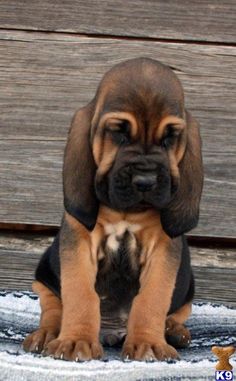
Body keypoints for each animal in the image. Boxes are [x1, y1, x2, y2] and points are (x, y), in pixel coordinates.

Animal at [24, 58, 205, 360]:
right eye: (119, 133)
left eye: (169, 138)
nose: (145, 181)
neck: (126, 212)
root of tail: (112, 331)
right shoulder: (80, 243)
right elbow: (81, 294)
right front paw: (75, 340)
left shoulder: (161, 250)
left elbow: (152, 298)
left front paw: (148, 343)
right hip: (44, 275)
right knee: (53, 308)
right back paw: (47, 333)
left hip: (188, 285)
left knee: (177, 312)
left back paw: (172, 331)